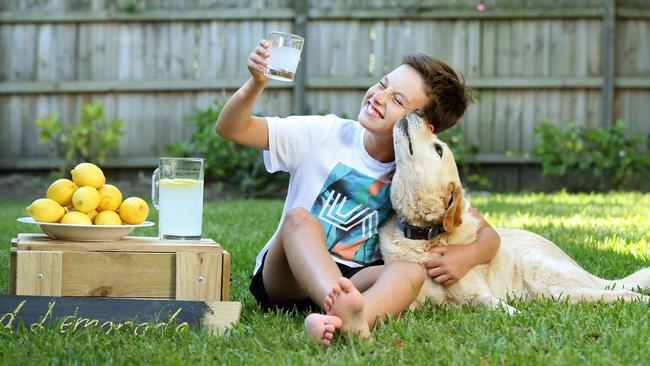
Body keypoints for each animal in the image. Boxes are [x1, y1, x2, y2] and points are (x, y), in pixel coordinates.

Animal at [380, 113, 648, 314]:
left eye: (438, 149)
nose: (419, 112)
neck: (424, 235)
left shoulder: (479, 294)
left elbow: (498, 307)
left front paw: (514, 314)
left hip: (545, 278)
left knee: (618, 292)